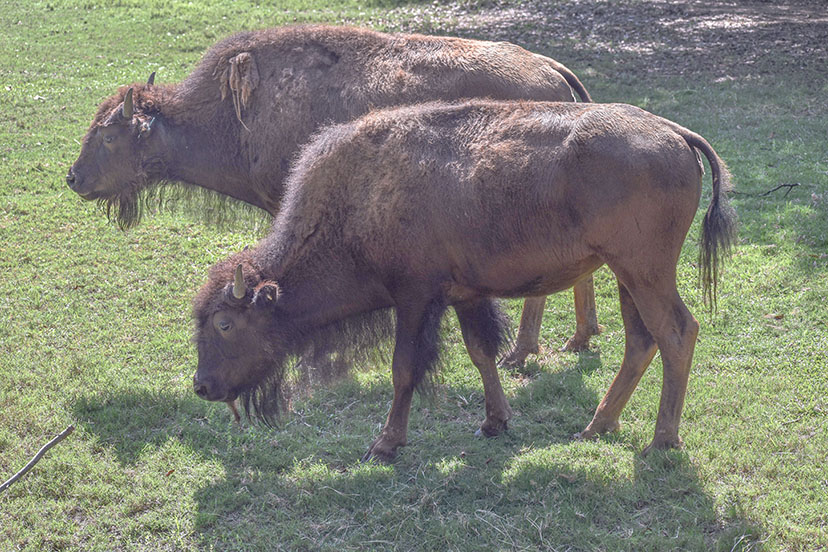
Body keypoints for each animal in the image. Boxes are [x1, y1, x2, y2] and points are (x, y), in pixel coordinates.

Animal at [66, 25, 598, 365]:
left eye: (109, 136)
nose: (74, 178)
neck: (233, 114)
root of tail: (551, 69)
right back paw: (577, 339)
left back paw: (521, 353)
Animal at [191, 99, 736, 461]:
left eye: (224, 324)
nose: (202, 386)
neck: (359, 200)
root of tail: (675, 133)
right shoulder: (465, 296)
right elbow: (481, 354)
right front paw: (495, 422)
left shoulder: (414, 298)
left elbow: (405, 368)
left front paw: (385, 444)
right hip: (626, 276)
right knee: (641, 340)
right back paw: (596, 426)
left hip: (645, 273)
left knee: (676, 332)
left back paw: (661, 442)